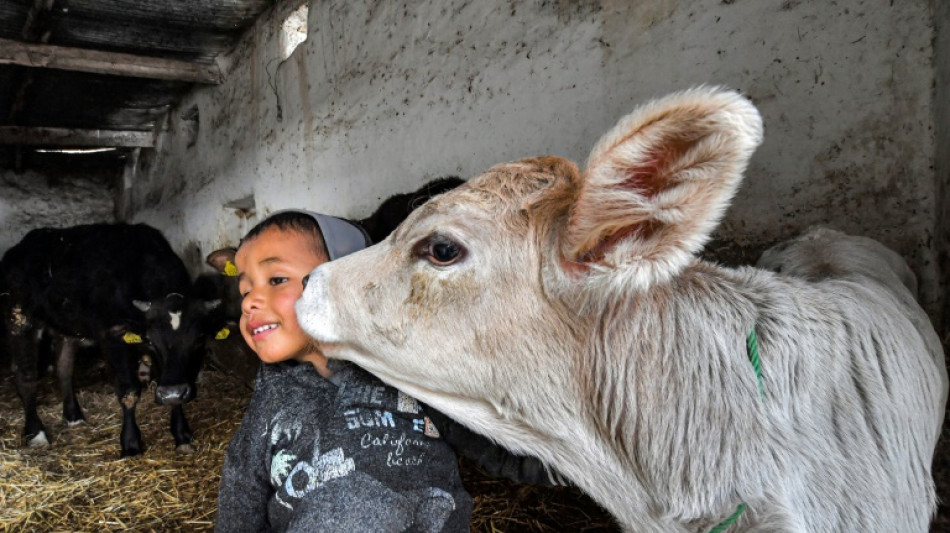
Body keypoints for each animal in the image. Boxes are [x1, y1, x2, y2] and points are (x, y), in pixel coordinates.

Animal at [0, 222, 218, 456]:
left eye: (199, 339)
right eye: (150, 341)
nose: (172, 393)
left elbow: (172, 384)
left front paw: (181, 434)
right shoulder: (114, 336)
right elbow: (128, 390)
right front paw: (130, 444)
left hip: (66, 327)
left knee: (64, 368)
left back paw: (73, 415)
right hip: (19, 319)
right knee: (26, 377)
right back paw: (36, 432)